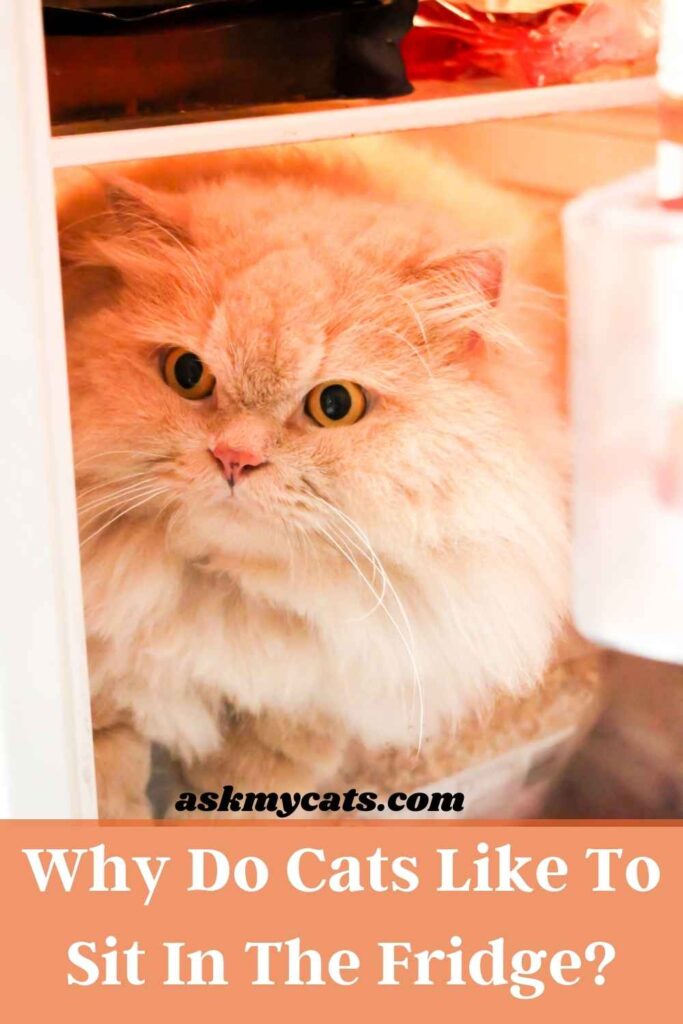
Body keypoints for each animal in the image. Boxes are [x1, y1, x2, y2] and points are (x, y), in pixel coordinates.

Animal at [60, 140, 573, 819]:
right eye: (188, 373)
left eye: (336, 405)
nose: (234, 458)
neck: (235, 602)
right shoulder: (103, 704)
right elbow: (111, 797)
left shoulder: (310, 719)